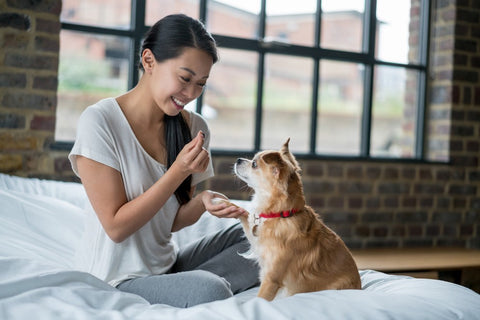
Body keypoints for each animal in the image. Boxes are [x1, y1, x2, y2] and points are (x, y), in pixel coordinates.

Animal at [229, 139, 360, 302]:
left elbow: (259, 299)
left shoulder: (271, 280)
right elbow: (246, 217)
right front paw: (228, 205)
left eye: (254, 164)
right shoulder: (258, 241)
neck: (281, 214)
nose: (238, 159)